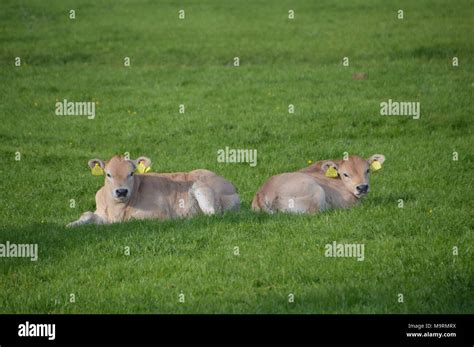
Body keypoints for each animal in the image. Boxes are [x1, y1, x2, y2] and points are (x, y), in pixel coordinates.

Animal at [66, 156, 241, 228]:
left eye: (131, 173)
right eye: (108, 174)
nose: (121, 191)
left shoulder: (158, 213)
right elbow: (87, 215)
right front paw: (71, 224)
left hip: (201, 188)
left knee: (212, 214)